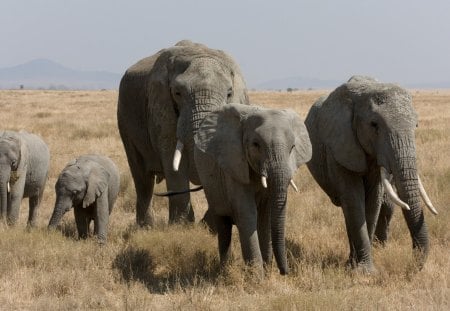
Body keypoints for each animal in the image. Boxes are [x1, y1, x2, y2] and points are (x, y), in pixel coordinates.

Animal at [118, 40, 248, 228]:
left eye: (229, 93)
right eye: (177, 93)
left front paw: (209, 225)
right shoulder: (161, 107)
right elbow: (172, 159)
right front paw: (182, 226)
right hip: (124, 118)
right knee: (142, 178)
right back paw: (145, 227)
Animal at [193, 103, 312, 276]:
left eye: (292, 148)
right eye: (256, 145)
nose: (286, 272)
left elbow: (265, 216)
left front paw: (267, 272)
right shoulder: (235, 166)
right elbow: (247, 213)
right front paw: (257, 277)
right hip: (211, 186)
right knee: (223, 226)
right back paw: (225, 270)